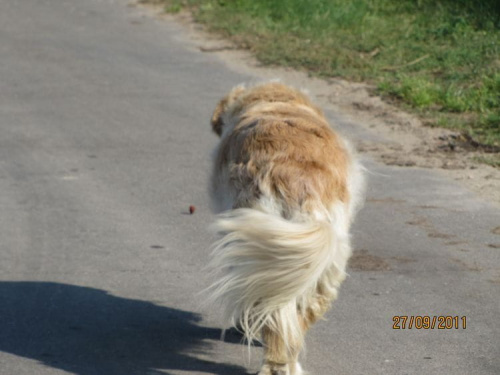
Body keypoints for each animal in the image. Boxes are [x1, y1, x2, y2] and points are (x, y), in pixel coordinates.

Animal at [206, 82, 364, 375]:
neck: (276, 102)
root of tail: (303, 188)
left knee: (274, 317)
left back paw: (273, 363)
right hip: (321, 265)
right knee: (294, 323)